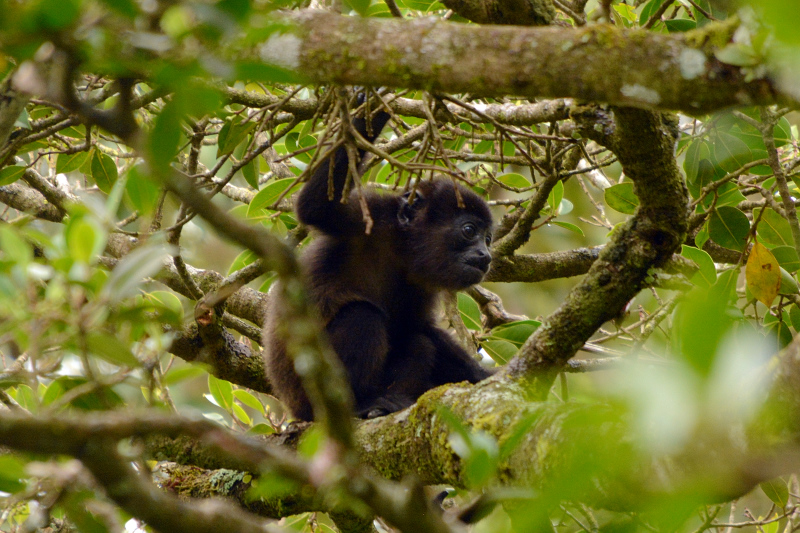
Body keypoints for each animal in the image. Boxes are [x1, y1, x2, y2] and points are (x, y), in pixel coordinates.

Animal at [266, 96, 494, 420]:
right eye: (469, 230)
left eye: (488, 238)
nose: (486, 255)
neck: (401, 251)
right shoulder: (375, 218)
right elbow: (315, 205)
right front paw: (372, 106)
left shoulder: (420, 283)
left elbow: (419, 328)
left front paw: (483, 376)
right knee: (361, 316)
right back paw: (362, 404)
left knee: (418, 342)